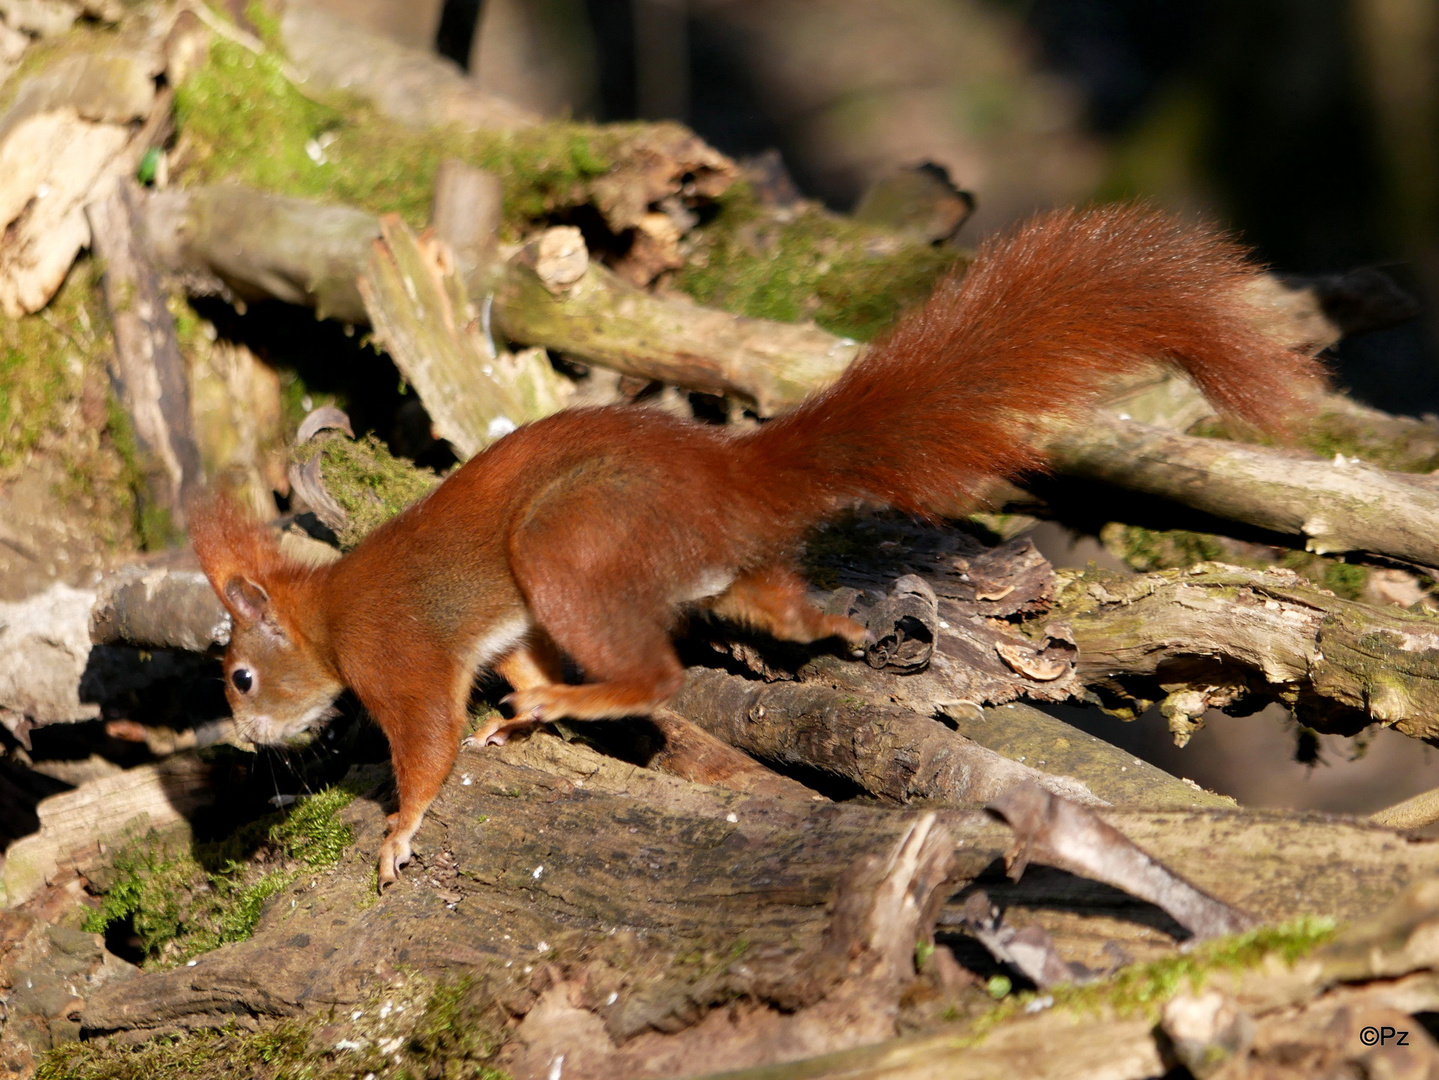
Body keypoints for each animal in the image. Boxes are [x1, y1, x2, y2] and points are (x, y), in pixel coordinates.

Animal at [188, 204, 1323, 885]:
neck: (329, 613)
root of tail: (730, 474)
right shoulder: (500, 632)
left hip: (569, 545)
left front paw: (399, 830)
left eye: (239, 676)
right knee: (760, 603)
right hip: (678, 567)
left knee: (654, 672)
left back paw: (587, 698)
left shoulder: (402, 658)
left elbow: (427, 746)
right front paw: (514, 716)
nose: (243, 739)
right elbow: (513, 661)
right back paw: (828, 627)